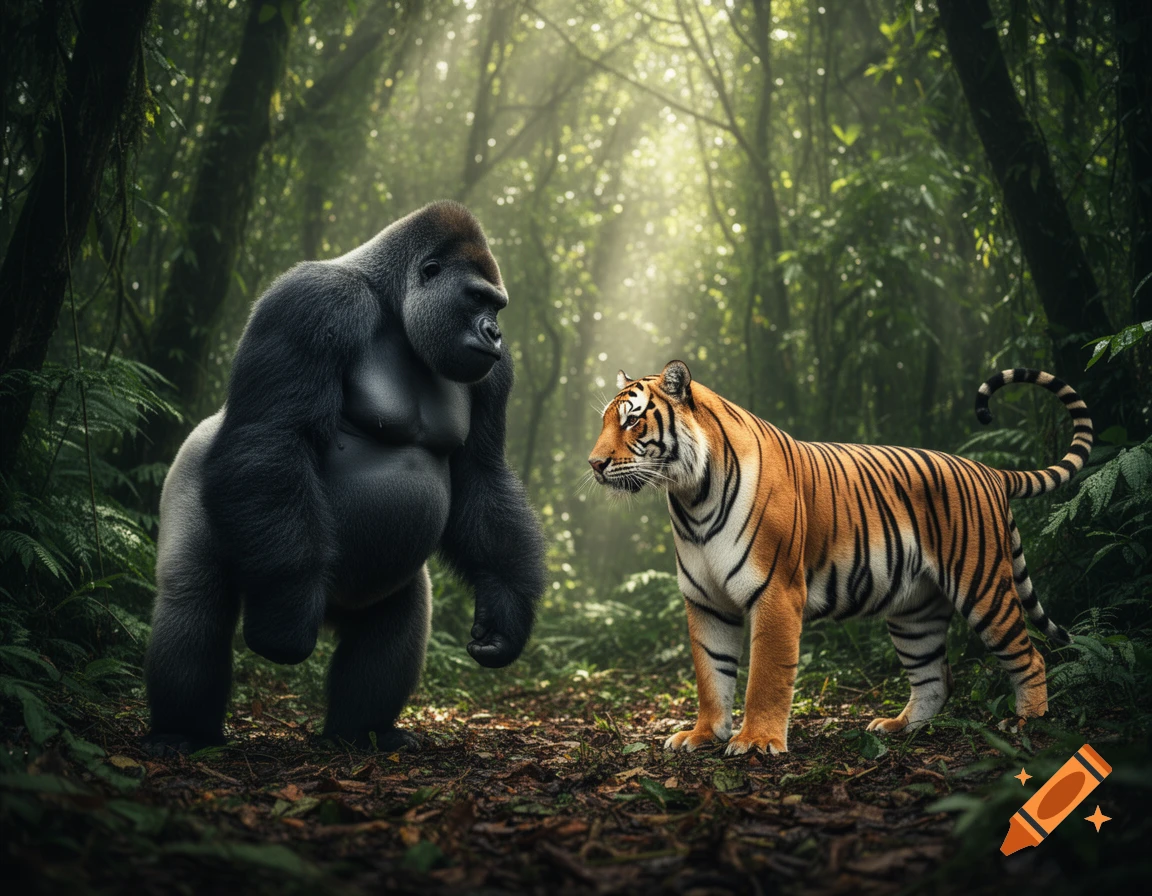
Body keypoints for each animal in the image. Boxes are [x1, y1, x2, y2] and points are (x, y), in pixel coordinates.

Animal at [143, 201, 545, 752]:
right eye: (478, 299)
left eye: (498, 307)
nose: (495, 333)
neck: (392, 302)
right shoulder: (313, 303)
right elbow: (275, 435)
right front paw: (284, 619)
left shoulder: (493, 372)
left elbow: (480, 476)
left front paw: (505, 612)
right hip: (193, 478)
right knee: (194, 599)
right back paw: (180, 731)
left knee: (401, 613)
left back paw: (363, 732)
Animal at [588, 361, 1090, 755]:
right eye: (605, 423)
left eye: (632, 422)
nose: (593, 464)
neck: (691, 495)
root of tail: (990, 471)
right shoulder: (705, 601)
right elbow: (711, 673)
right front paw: (704, 734)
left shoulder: (776, 591)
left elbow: (766, 675)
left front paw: (756, 741)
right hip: (915, 610)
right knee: (935, 677)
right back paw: (900, 727)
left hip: (983, 586)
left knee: (1030, 656)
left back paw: (1027, 721)